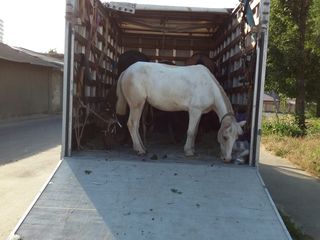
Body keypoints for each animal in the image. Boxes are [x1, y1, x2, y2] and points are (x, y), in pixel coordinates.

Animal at [116, 62, 246, 163]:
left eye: (236, 138)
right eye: (224, 137)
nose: (227, 159)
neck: (209, 87)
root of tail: (127, 71)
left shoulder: (198, 113)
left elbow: (195, 131)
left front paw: (192, 149)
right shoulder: (194, 110)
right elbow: (191, 132)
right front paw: (188, 151)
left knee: (136, 125)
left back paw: (142, 147)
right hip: (136, 105)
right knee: (132, 124)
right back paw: (140, 150)